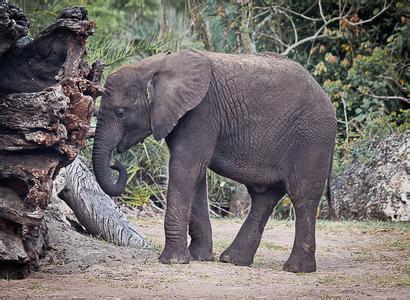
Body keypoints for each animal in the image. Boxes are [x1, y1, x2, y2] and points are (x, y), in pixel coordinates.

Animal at [92, 50, 336, 274]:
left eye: (120, 112)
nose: (116, 164)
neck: (154, 66)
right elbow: (195, 174)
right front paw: (198, 257)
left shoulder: (201, 112)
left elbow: (185, 167)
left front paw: (172, 261)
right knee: (264, 197)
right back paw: (233, 260)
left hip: (312, 138)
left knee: (302, 196)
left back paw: (296, 269)